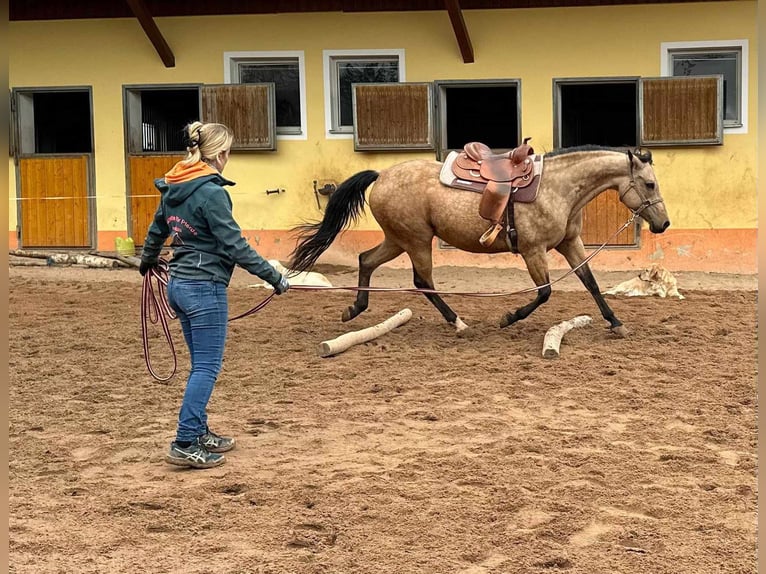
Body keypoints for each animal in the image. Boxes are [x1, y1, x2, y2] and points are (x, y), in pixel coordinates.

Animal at [290, 143, 672, 338]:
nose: (664, 223)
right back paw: (457, 322)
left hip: (397, 239)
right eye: (650, 184)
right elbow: (544, 293)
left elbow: (590, 282)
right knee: (422, 280)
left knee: (366, 260)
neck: (558, 187)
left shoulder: (569, 244)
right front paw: (509, 317)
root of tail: (382, 175)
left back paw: (354, 309)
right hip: (416, 240)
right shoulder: (533, 251)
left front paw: (616, 322)